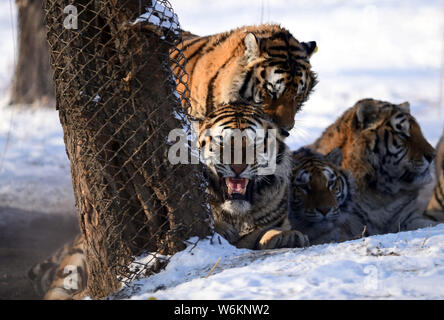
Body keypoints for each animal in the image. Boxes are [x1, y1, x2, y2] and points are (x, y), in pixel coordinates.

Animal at [198, 104, 308, 249]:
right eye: (222, 142)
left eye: (255, 143)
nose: (237, 167)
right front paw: (224, 230)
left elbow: (267, 230)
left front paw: (288, 236)